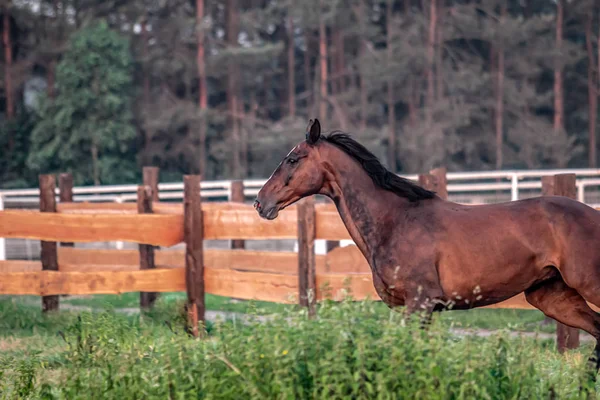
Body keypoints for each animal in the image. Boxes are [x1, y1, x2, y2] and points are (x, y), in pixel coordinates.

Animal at [254, 118, 600, 368]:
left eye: (293, 159)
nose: (260, 203)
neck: (395, 221)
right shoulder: (418, 308)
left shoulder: (420, 304)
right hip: (551, 296)